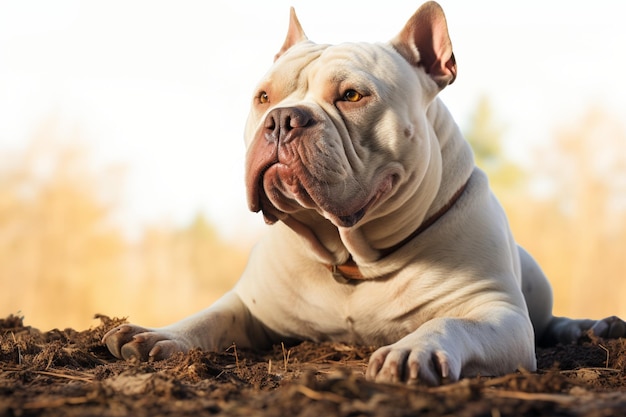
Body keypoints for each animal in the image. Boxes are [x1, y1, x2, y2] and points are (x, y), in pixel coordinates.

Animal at [103, 2, 624, 384]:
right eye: (263, 97)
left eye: (352, 96)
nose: (282, 119)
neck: (352, 256)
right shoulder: (250, 306)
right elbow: (208, 318)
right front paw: (158, 334)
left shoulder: (496, 313)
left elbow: (449, 321)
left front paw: (413, 349)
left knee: (549, 322)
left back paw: (591, 327)